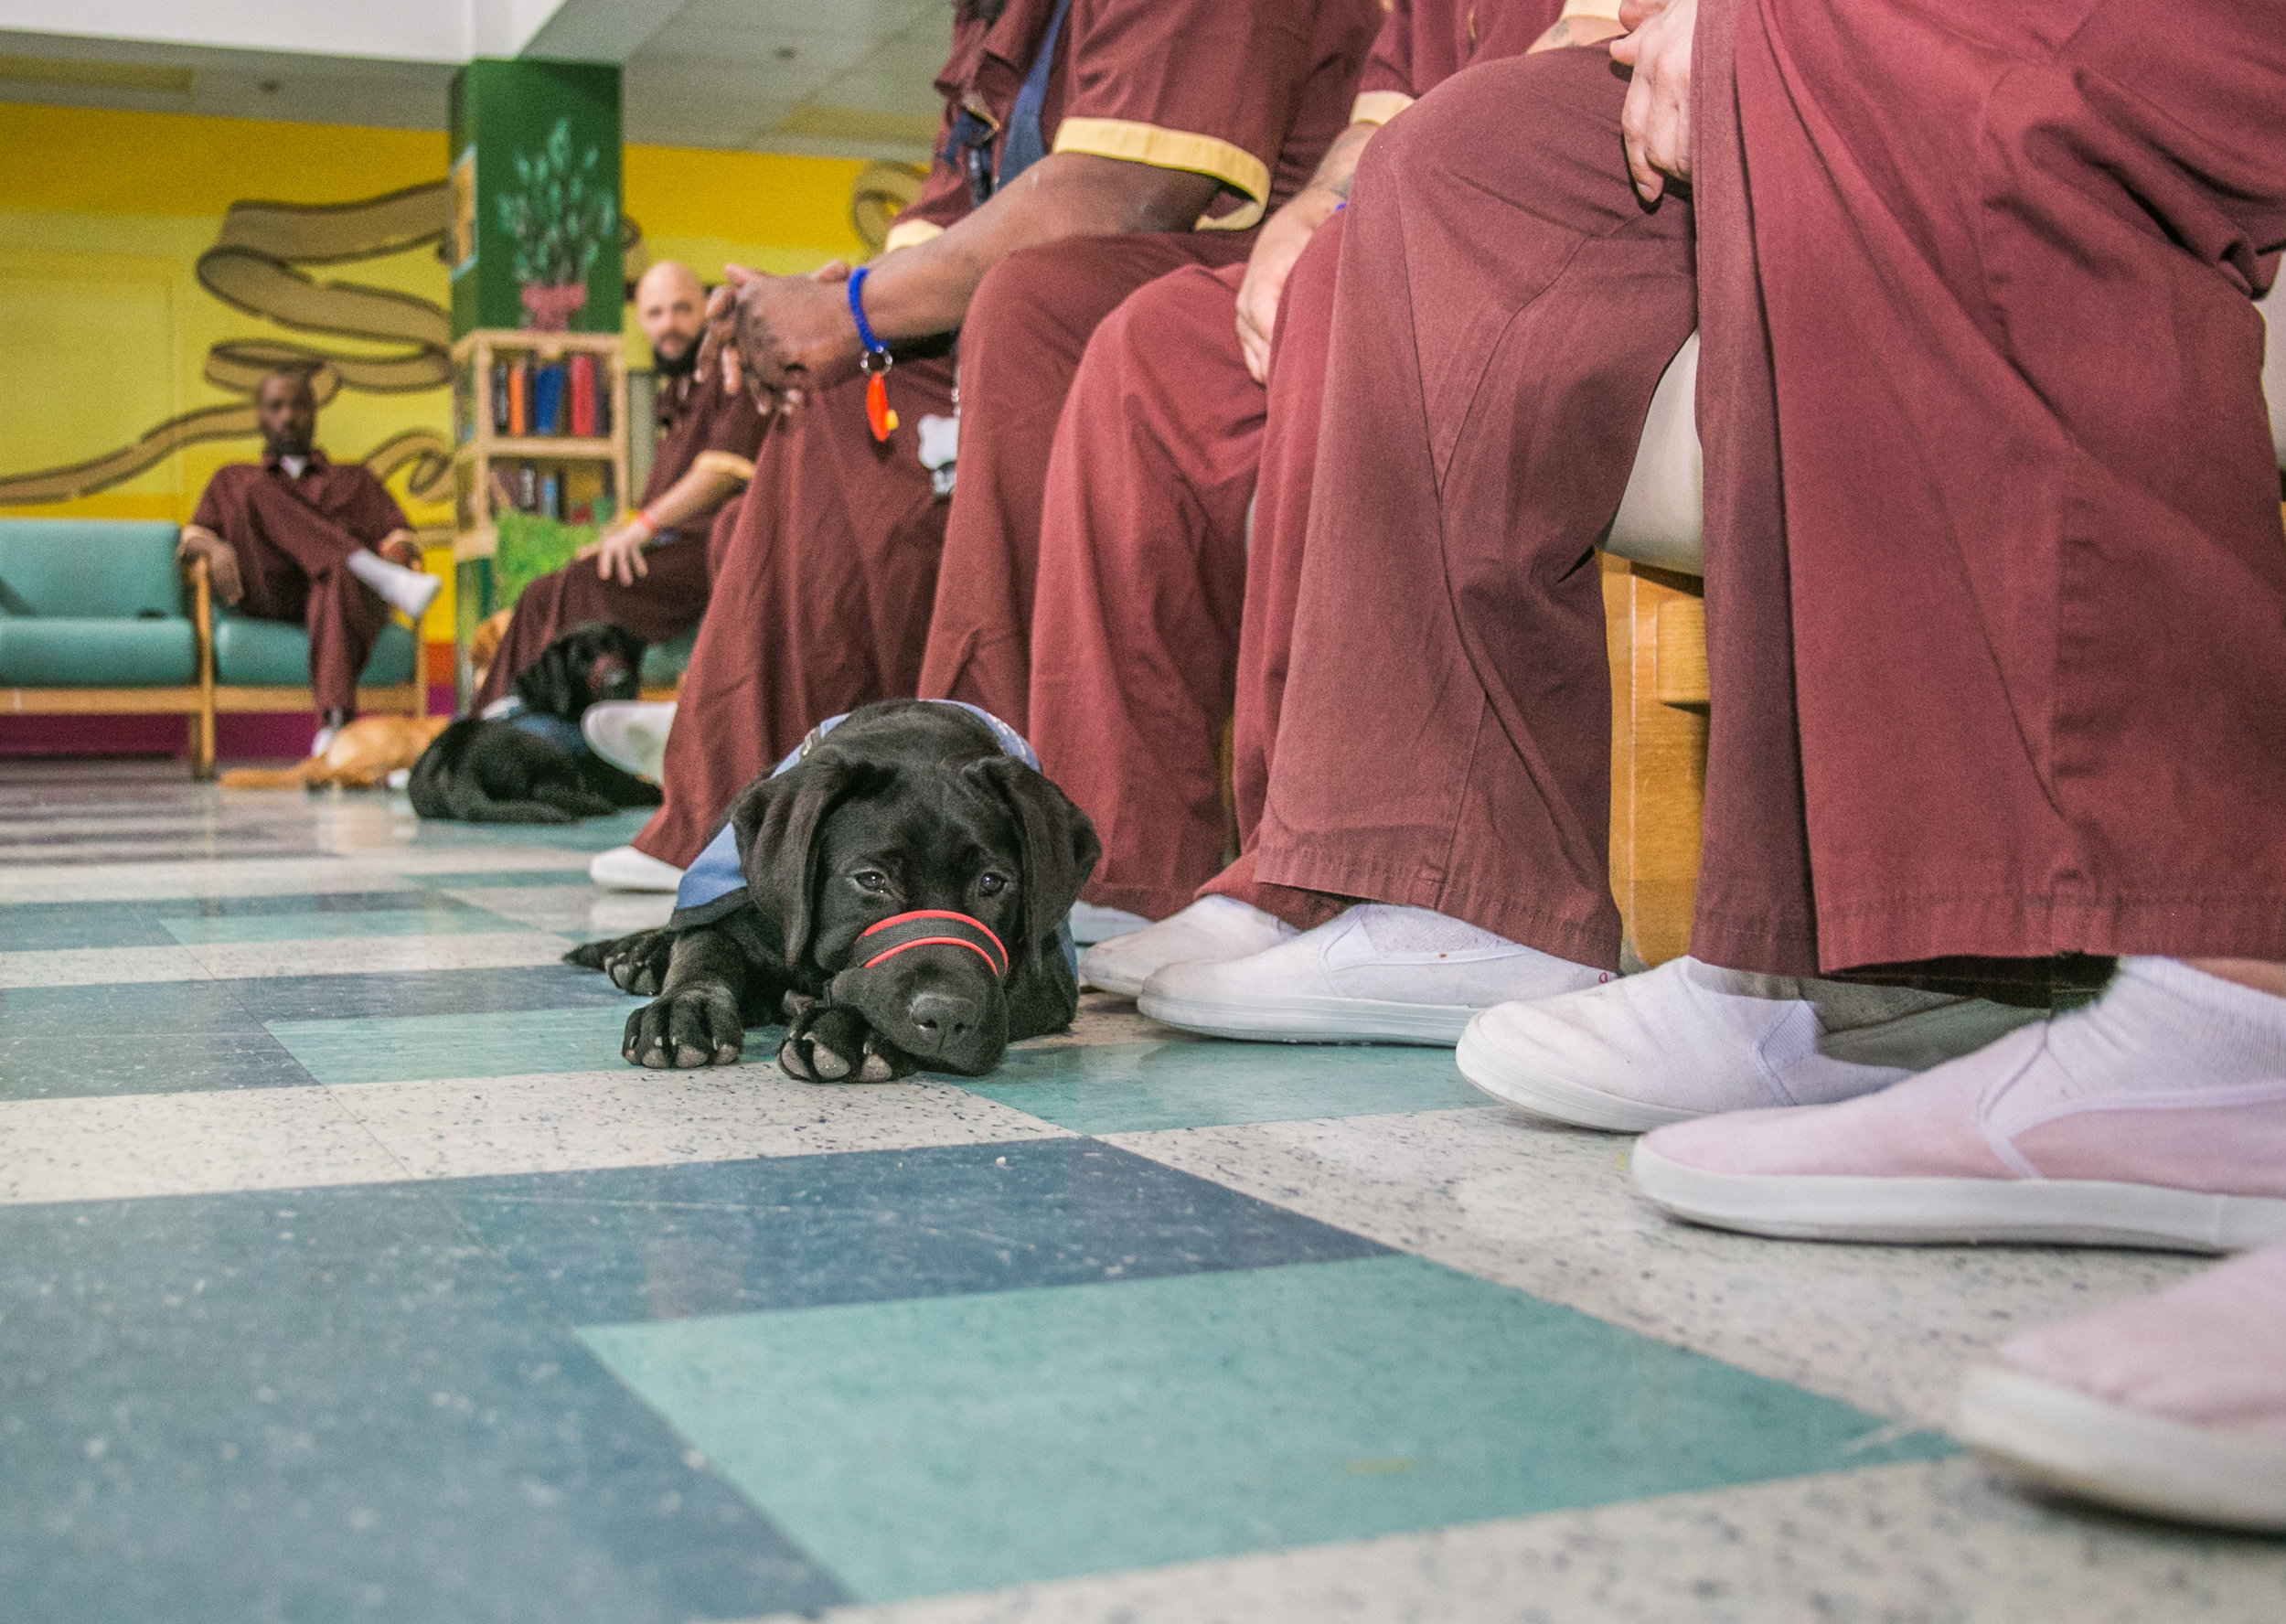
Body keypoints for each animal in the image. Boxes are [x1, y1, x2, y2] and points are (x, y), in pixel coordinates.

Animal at [409, 622, 663, 828]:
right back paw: (594, 804)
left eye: (615, 648)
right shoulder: (609, 775)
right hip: (544, 750)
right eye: (580, 663)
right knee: (543, 789)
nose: (619, 682)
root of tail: (457, 767)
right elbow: (647, 788)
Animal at [572, 700, 1106, 1079]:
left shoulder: (1047, 980)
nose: (946, 1018)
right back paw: (641, 951)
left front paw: (855, 1027)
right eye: (871, 880)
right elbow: (704, 948)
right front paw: (686, 1009)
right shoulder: (742, 915)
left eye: (993, 883)